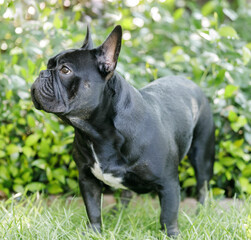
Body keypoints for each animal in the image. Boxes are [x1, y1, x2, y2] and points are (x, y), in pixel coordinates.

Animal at [30, 24, 215, 236]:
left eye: (65, 70)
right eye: (48, 64)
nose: (42, 73)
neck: (97, 133)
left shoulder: (168, 184)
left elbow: (168, 215)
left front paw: (171, 235)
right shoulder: (87, 179)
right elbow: (93, 209)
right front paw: (94, 232)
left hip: (202, 154)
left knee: (202, 187)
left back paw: (200, 213)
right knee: (126, 192)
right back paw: (116, 213)